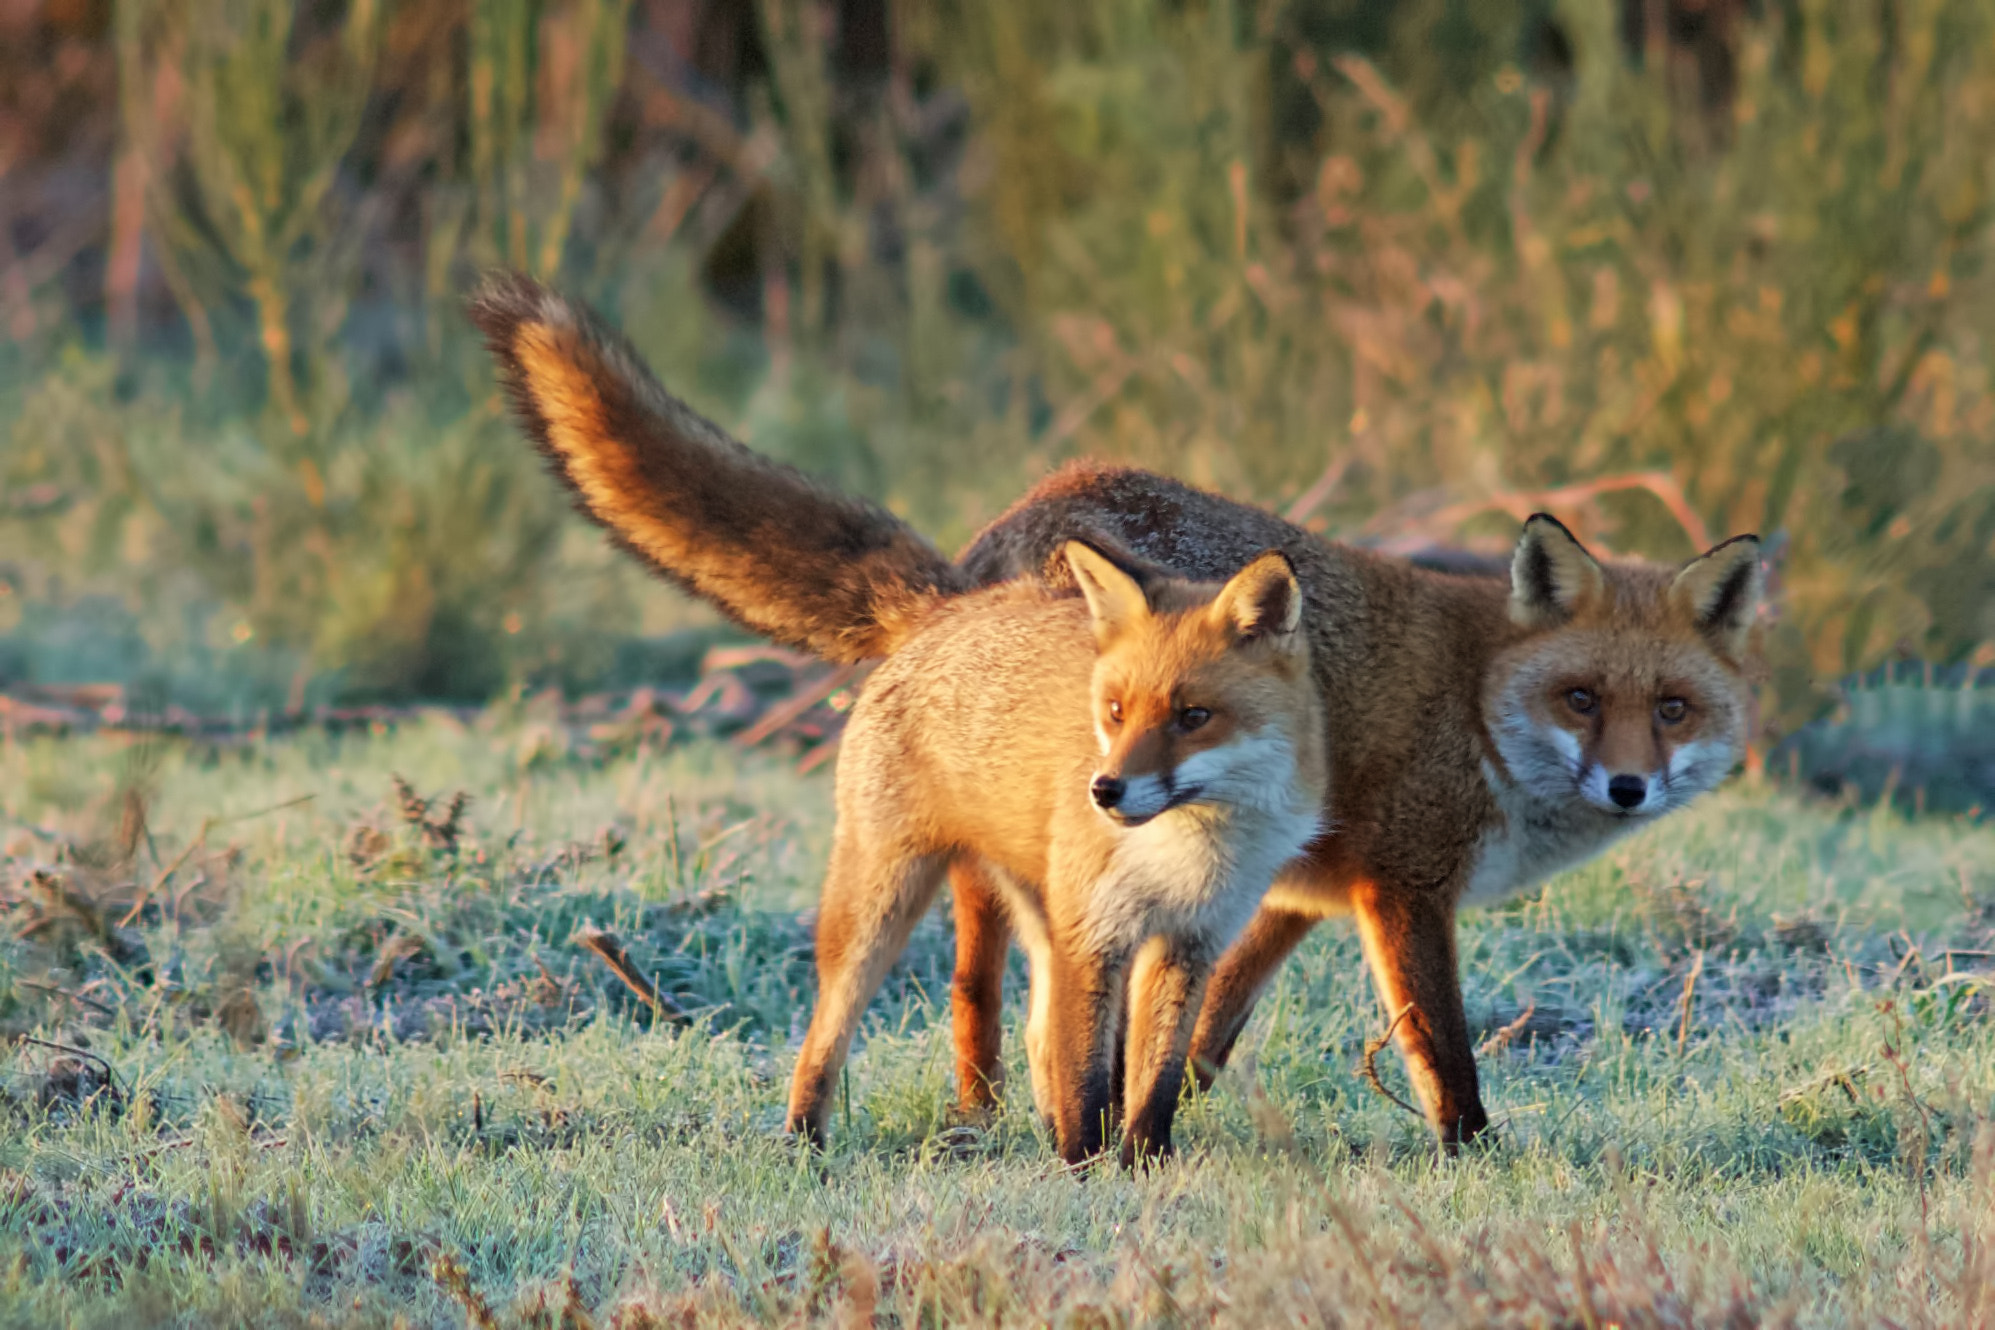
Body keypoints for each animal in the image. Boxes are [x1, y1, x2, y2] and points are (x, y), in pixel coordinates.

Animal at [790, 542, 1324, 1164]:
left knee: (1039, 1036)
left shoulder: (1190, 944)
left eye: (1193, 717)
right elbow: (1087, 1081)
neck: (1186, 853)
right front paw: (1085, 1166)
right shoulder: (1094, 937)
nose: (1105, 790)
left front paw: (1144, 1163)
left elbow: (1155, 1081)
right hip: (879, 908)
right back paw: (803, 1141)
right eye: (1116, 710)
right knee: (825, 1032)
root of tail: (947, 609)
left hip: (1043, 913)